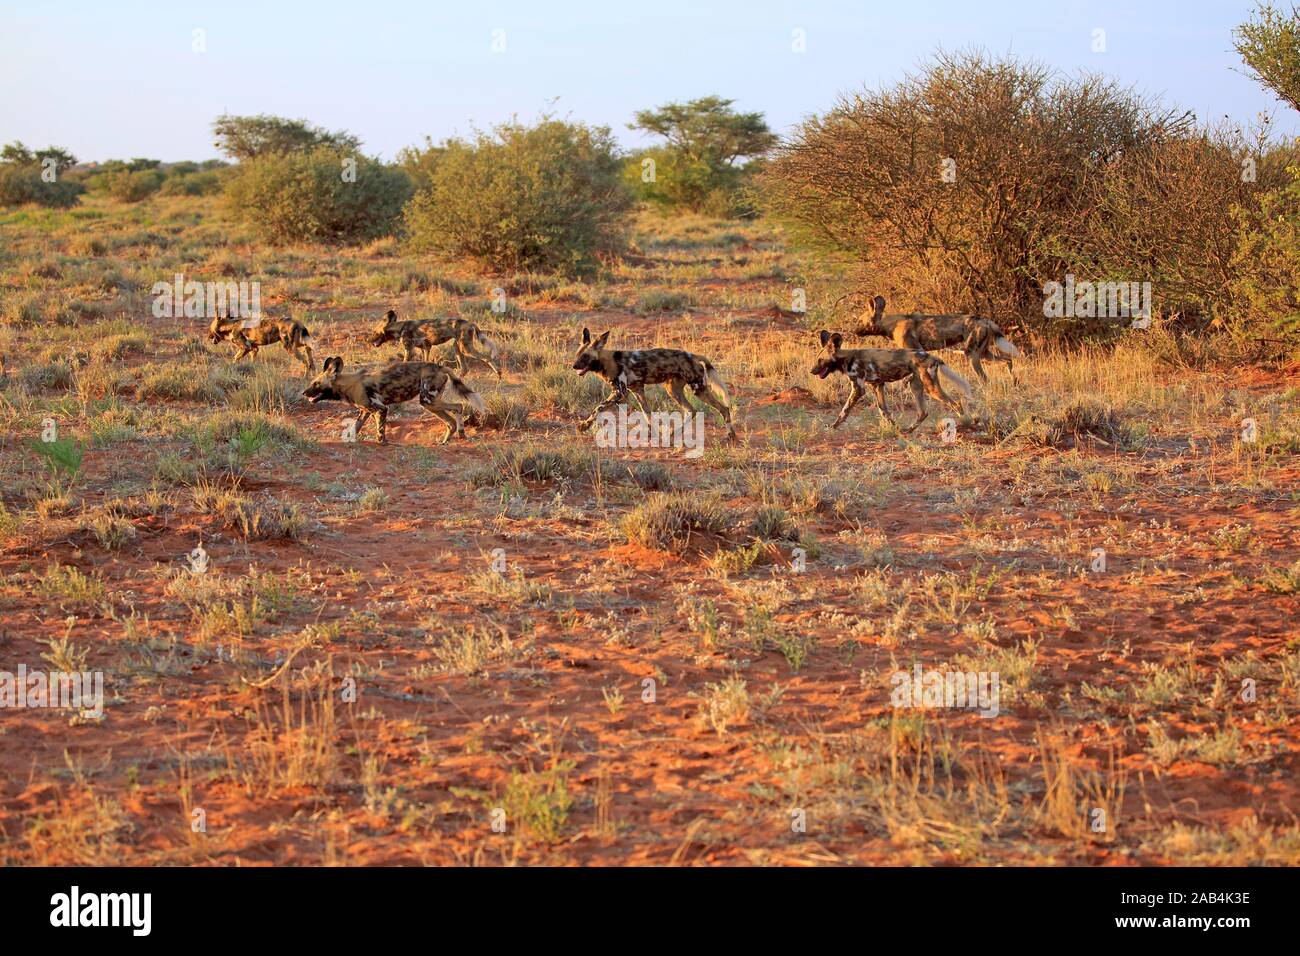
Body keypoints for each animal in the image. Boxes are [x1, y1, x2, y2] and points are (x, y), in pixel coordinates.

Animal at [301, 356, 486, 447]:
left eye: (316, 383)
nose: (304, 392)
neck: (349, 384)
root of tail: (439, 366)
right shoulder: (365, 412)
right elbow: (355, 428)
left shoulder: (381, 409)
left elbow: (380, 430)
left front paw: (383, 443)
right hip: (431, 402)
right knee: (452, 418)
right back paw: (450, 438)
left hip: (427, 401)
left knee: (458, 406)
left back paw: (458, 434)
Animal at [374, 310, 504, 377]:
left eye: (374, 333)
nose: (370, 342)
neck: (400, 328)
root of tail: (470, 323)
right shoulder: (426, 347)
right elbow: (425, 361)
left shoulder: (409, 349)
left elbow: (404, 362)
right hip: (458, 347)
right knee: (465, 368)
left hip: (467, 349)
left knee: (486, 357)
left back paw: (498, 374)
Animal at [574, 325, 738, 437]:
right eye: (577, 355)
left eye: (585, 356)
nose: (573, 366)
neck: (607, 361)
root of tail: (694, 355)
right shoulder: (637, 390)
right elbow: (647, 415)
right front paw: (654, 433)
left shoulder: (620, 393)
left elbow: (598, 408)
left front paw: (584, 426)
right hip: (673, 390)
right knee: (692, 410)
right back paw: (674, 433)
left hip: (698, 389)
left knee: (723, 408)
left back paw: (730, 435)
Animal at [806, 330, 972, 431]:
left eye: (820, 360)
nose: (811, 371)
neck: (846, 358)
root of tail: (931, 356)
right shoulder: (877, 386)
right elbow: (884, 411)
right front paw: (894, 428)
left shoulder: (858, 389)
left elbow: (844, 411)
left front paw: (833, 426)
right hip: (916, 386)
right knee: (923, 413)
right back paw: (907, 431)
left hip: (931, 388)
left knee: (956, 404)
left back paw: (965, 425)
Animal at [852, 293, 1024, 382]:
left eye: (859, 321)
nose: (854, 331)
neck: (890, 324)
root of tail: (985, 320)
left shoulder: (916, 350)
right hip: (984, 353)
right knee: (1007, 360)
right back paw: (1014, 381)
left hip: (972, 355)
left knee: (985, 377)